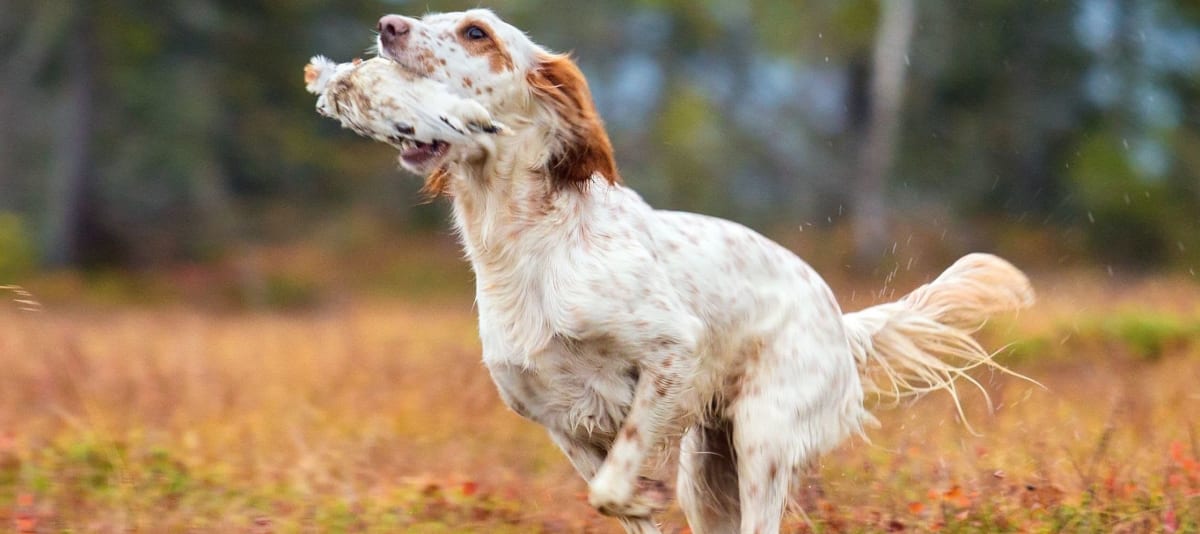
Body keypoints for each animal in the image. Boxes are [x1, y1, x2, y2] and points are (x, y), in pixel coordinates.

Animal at [307, 9, 1032, 532]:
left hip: (762, 434)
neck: (528, 246)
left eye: (476, 32)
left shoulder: (671, 358)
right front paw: (637, 505)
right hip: (708, 468)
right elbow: (609, 496)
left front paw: (637, 496)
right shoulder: (560, 422)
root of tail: (837, 317)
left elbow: (614, 483)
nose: (387, 26)